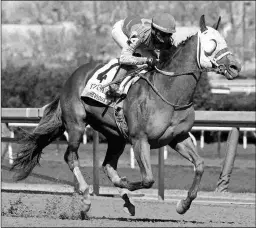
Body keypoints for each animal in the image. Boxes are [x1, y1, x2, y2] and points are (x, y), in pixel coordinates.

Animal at [11, 15, 240, 216]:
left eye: (225, 40)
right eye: (212, 43)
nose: (236, 66)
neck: (168, 93)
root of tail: (72, 76)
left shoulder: (178, 138)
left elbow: (200, 165)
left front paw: (183, 205)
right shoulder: (140, 140)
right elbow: (148, 179)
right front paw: (128, 184)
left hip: (115, 136)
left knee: (107, 165)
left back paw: (127, 202)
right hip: (76, 124)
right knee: (71, 157)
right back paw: (86, 199)